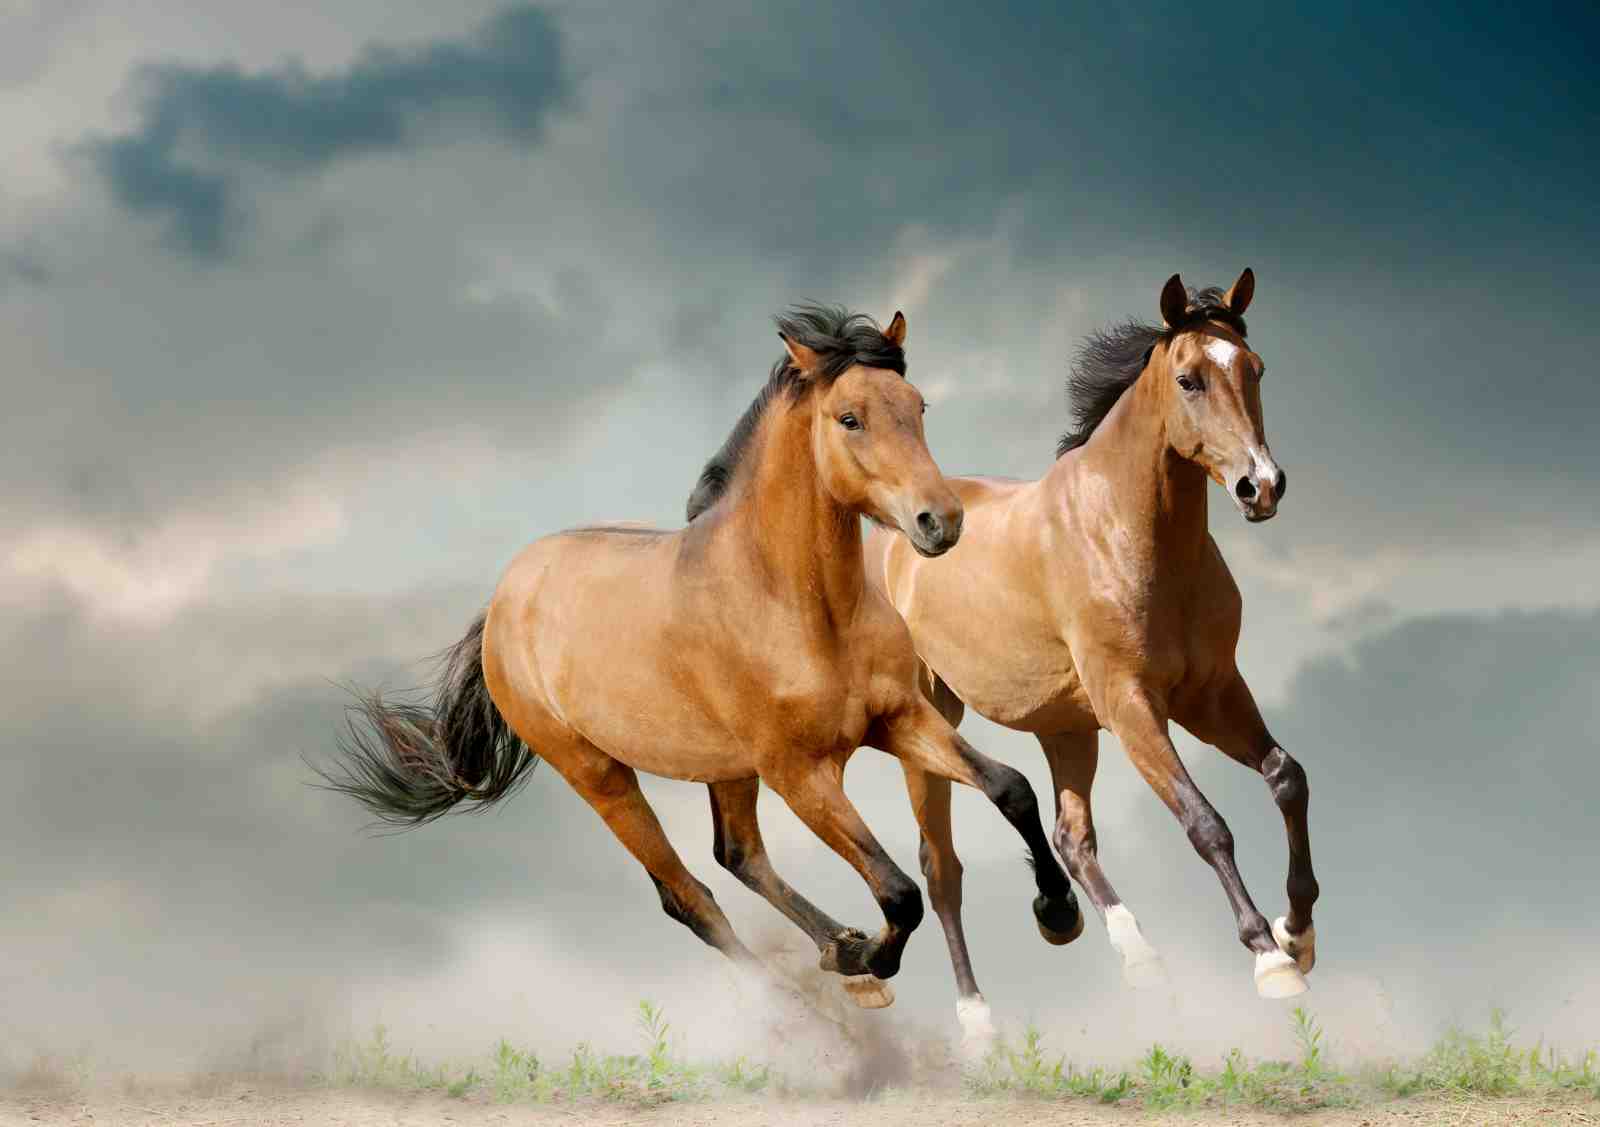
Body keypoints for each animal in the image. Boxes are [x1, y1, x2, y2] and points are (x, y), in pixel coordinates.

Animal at [321, 305, 1081, 1011]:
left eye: (917, 406)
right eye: (850, 418)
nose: (941, 521)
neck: (798, 605)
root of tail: (504, 602)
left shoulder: (898, 718)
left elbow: (1010, 787)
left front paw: (1057, 913)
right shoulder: (800, 773)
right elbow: (898, 892)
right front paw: (872, 957)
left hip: (726, 767)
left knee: (737, 855)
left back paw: (839, 950)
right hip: (600, 774)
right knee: (689, 896)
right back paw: (818, 997)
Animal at [865, 269, 1319, 1044]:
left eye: (1254, 369)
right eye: (1189, 379)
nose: (1261, 486)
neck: (1130, 535)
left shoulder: (1212, 693)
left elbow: (1287, 778)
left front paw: (1299, 932)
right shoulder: (1132, 704)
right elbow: (1205, 822)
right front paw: (1269, 959)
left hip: (1066, 727)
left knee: (1071, 837)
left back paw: (1124, 950)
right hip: (931, 719)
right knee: (942, 868)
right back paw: (979, 1022)